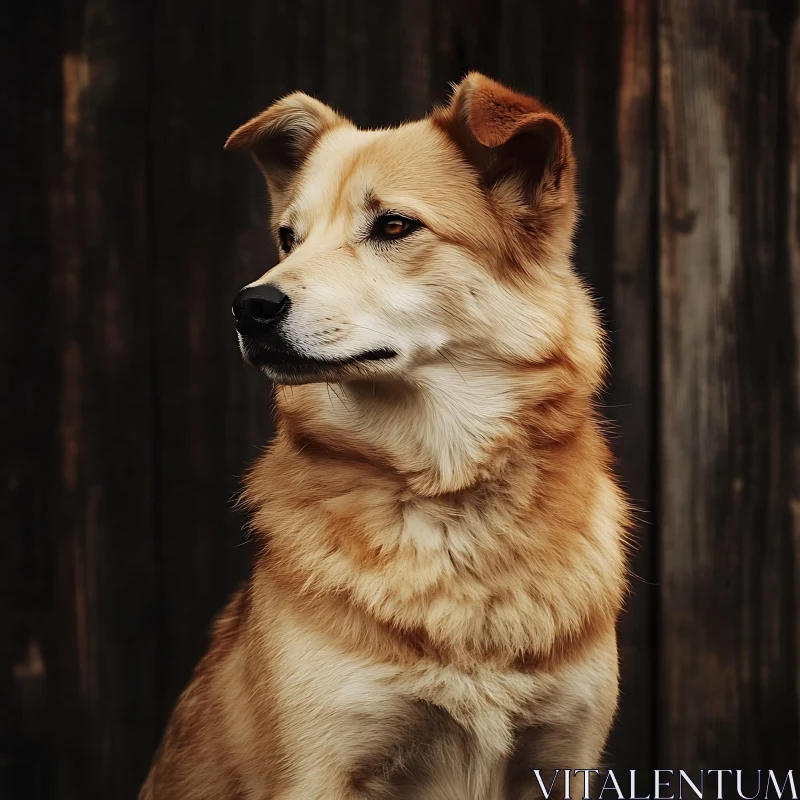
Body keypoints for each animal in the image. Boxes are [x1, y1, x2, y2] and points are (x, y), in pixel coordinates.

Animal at [142, 72, 632, 796]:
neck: (448, 496)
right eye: (288, 237)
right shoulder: (322, 766)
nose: (249, 306)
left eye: (394, 225)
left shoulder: (562, 758)